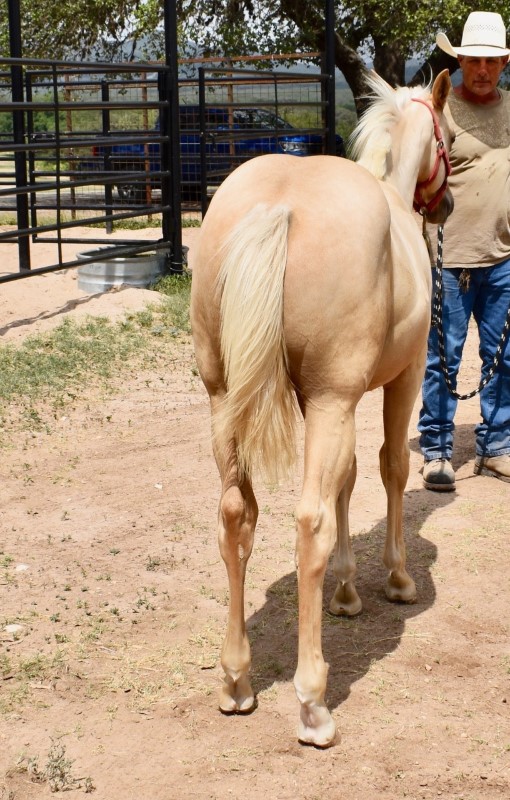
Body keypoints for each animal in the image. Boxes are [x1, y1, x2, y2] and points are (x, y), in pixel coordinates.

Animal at [191, 70, 454, 752]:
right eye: (447, 137)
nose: (444, 206)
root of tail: (280, 206)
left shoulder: (325, 402)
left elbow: (348, 479)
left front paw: (345, 591)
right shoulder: (397, 379)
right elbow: (388, 468)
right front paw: (395, 579)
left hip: (224, 401)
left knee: (235, 517)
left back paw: (236, 681)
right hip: (335, 400)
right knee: (308, 523)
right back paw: (312, 704)